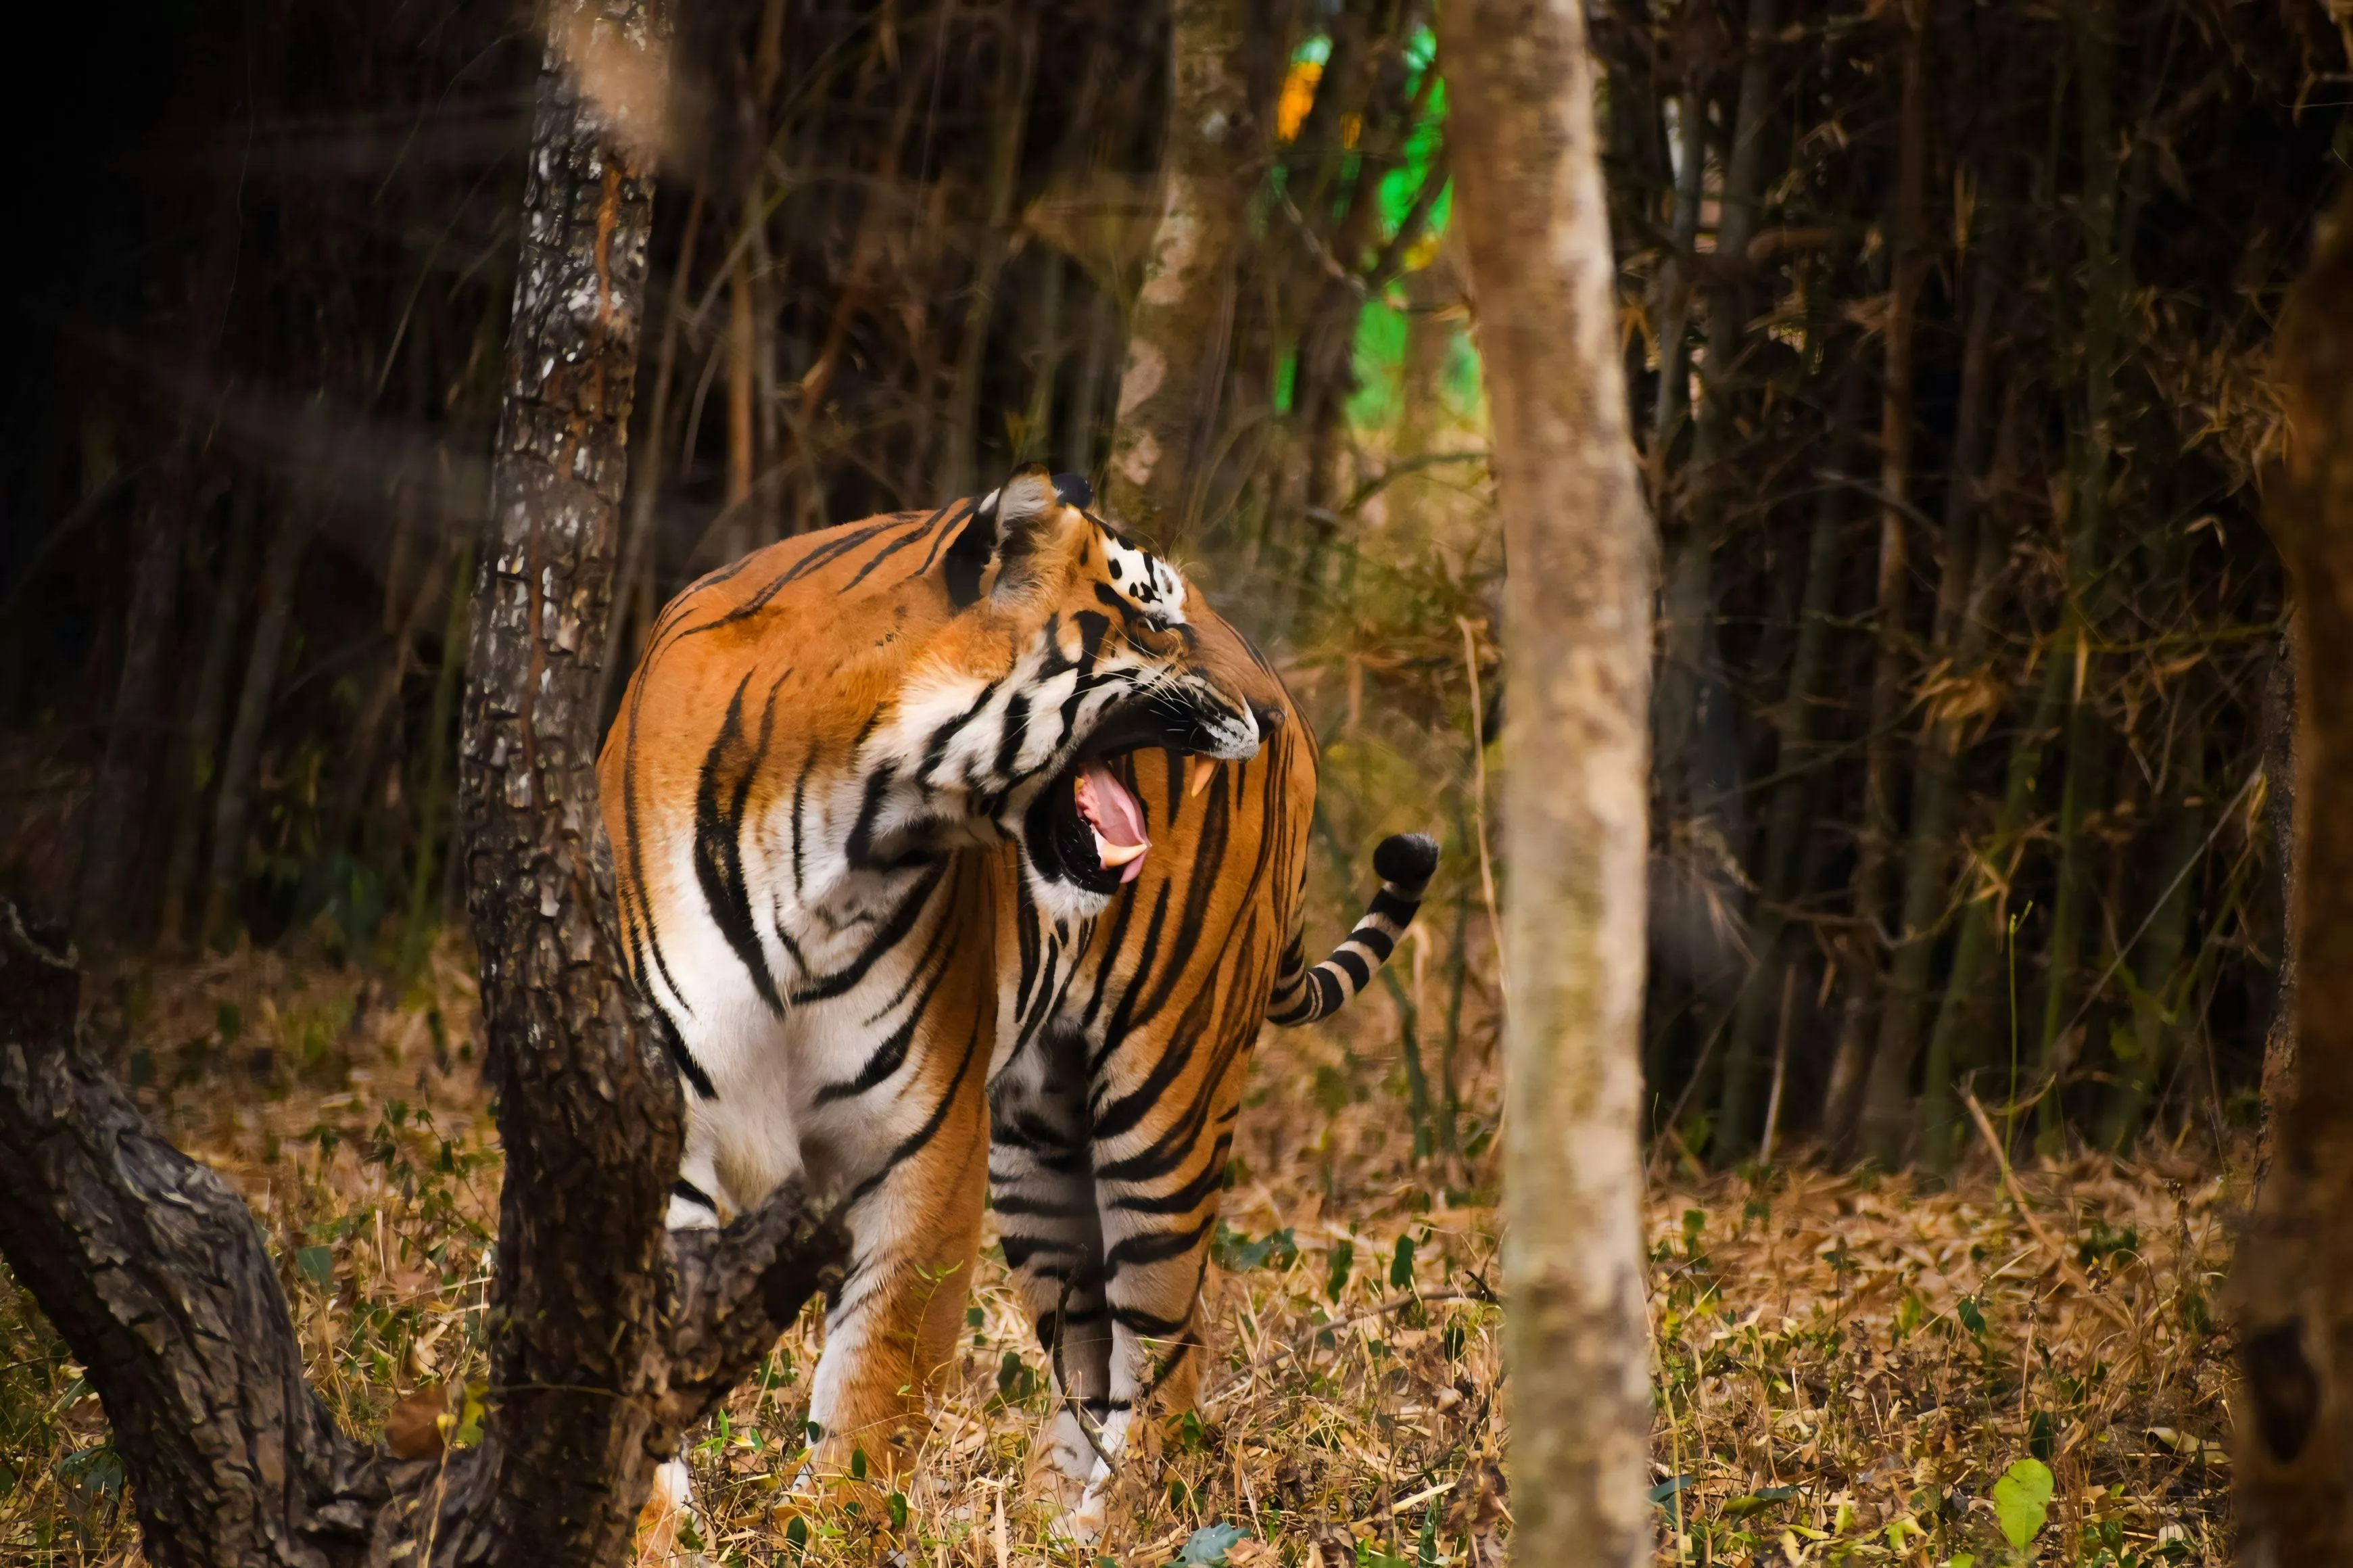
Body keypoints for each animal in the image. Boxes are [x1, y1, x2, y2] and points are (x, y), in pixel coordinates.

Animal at [598, 464, 1436, 1538]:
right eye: (1152, 613)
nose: (1276, 718)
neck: (831, 846)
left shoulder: (924, 1149)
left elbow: (875, 1389)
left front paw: (829, 1529)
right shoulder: (664, 1131)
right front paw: (646, 1529)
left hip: (1167, 1104)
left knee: (1169, 1346)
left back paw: (1105, 1532)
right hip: (1039, 1150)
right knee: (1093, 1341)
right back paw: (1045, 1516)